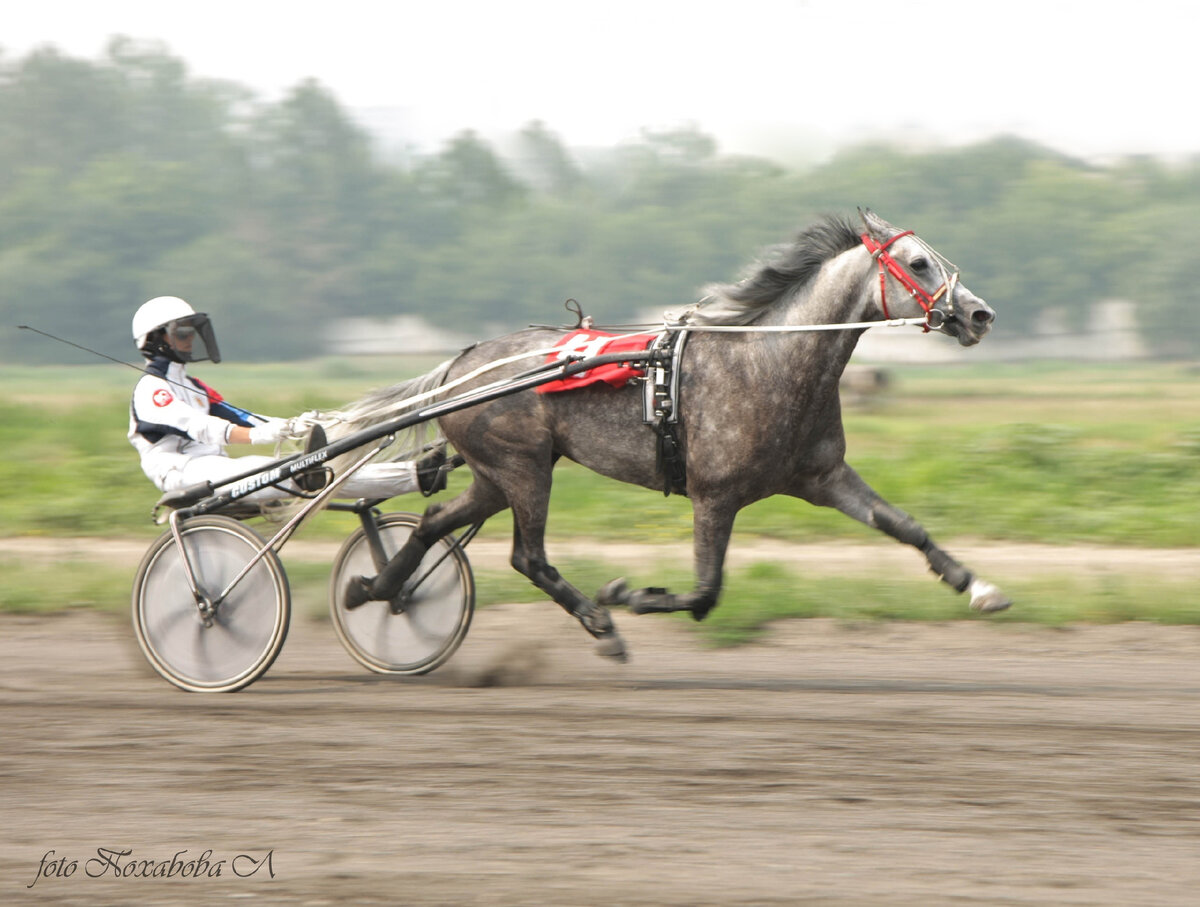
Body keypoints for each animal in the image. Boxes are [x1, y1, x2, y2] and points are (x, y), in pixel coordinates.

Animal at [328, 215, 1012, 662]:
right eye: (919, 263)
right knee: (527, 556)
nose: (980, 314)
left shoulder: (822, 477)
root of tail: (459, 364)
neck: (769, 362)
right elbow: (707, 593)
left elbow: (905, 525)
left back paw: (376, 590)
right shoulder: (715, 495)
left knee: (434, 521)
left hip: (500, 474)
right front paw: (628, 594)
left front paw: (979, 587)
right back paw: (599, 622)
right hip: (523, 470)